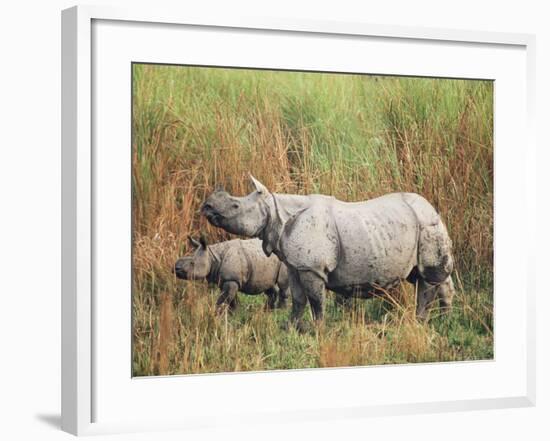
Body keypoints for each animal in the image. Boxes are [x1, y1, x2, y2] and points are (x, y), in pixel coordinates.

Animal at [203, 175, 458, 326]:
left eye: (235, 205)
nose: (206, 206)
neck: (276, 212)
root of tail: (432, 207)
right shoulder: (295, 266)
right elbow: (298, 300)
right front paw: (290, 328)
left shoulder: (312, 267)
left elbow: (316, 301)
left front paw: (318, 330)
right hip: (419, 224)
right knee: (428, 277)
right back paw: (444, 321)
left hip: (426, 223)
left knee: (427, 278)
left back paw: (421, 321)